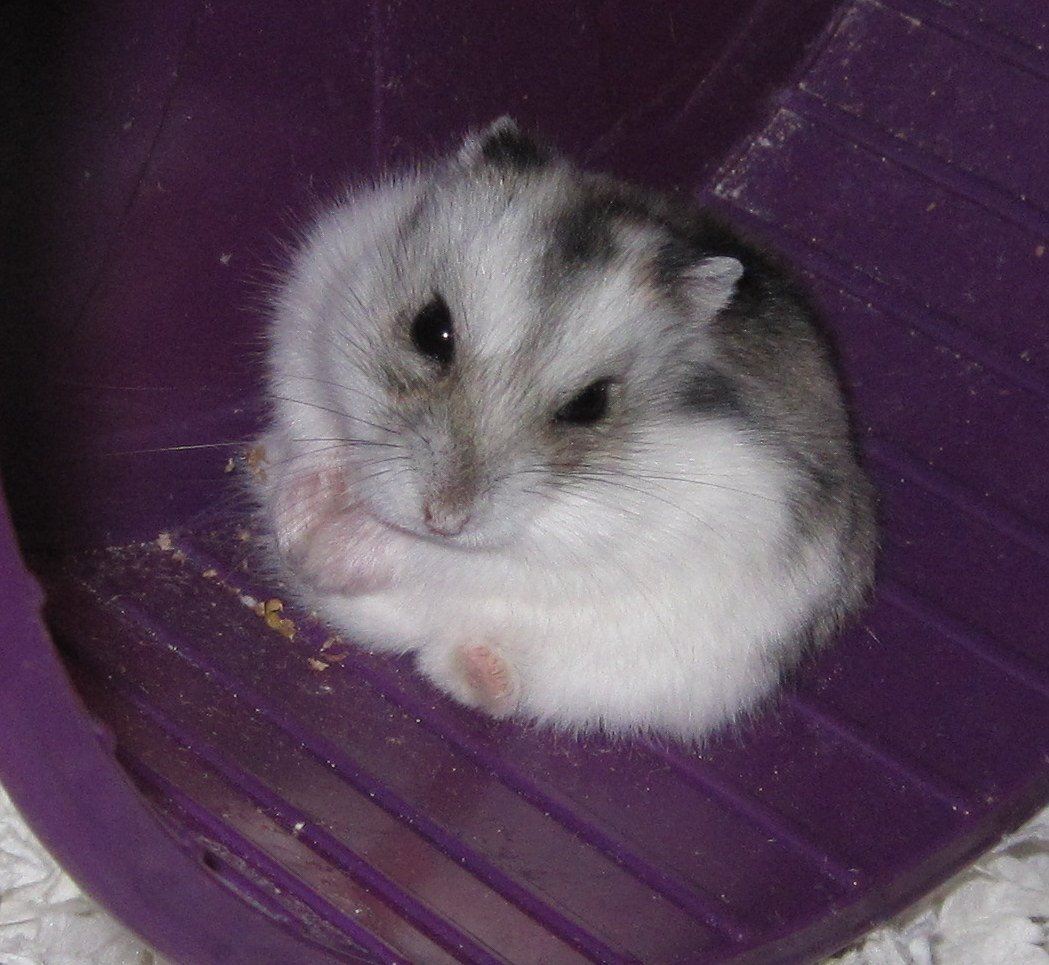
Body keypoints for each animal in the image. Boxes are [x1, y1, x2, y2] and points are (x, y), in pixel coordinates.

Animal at [255, 118, 876, 740]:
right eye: (430, 330)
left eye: (591, 404)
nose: (443, 519)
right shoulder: (312, 307)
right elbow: (315, 434)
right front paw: (299, 526)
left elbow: (461, 561)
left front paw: (327, 549)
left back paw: (484, 670)